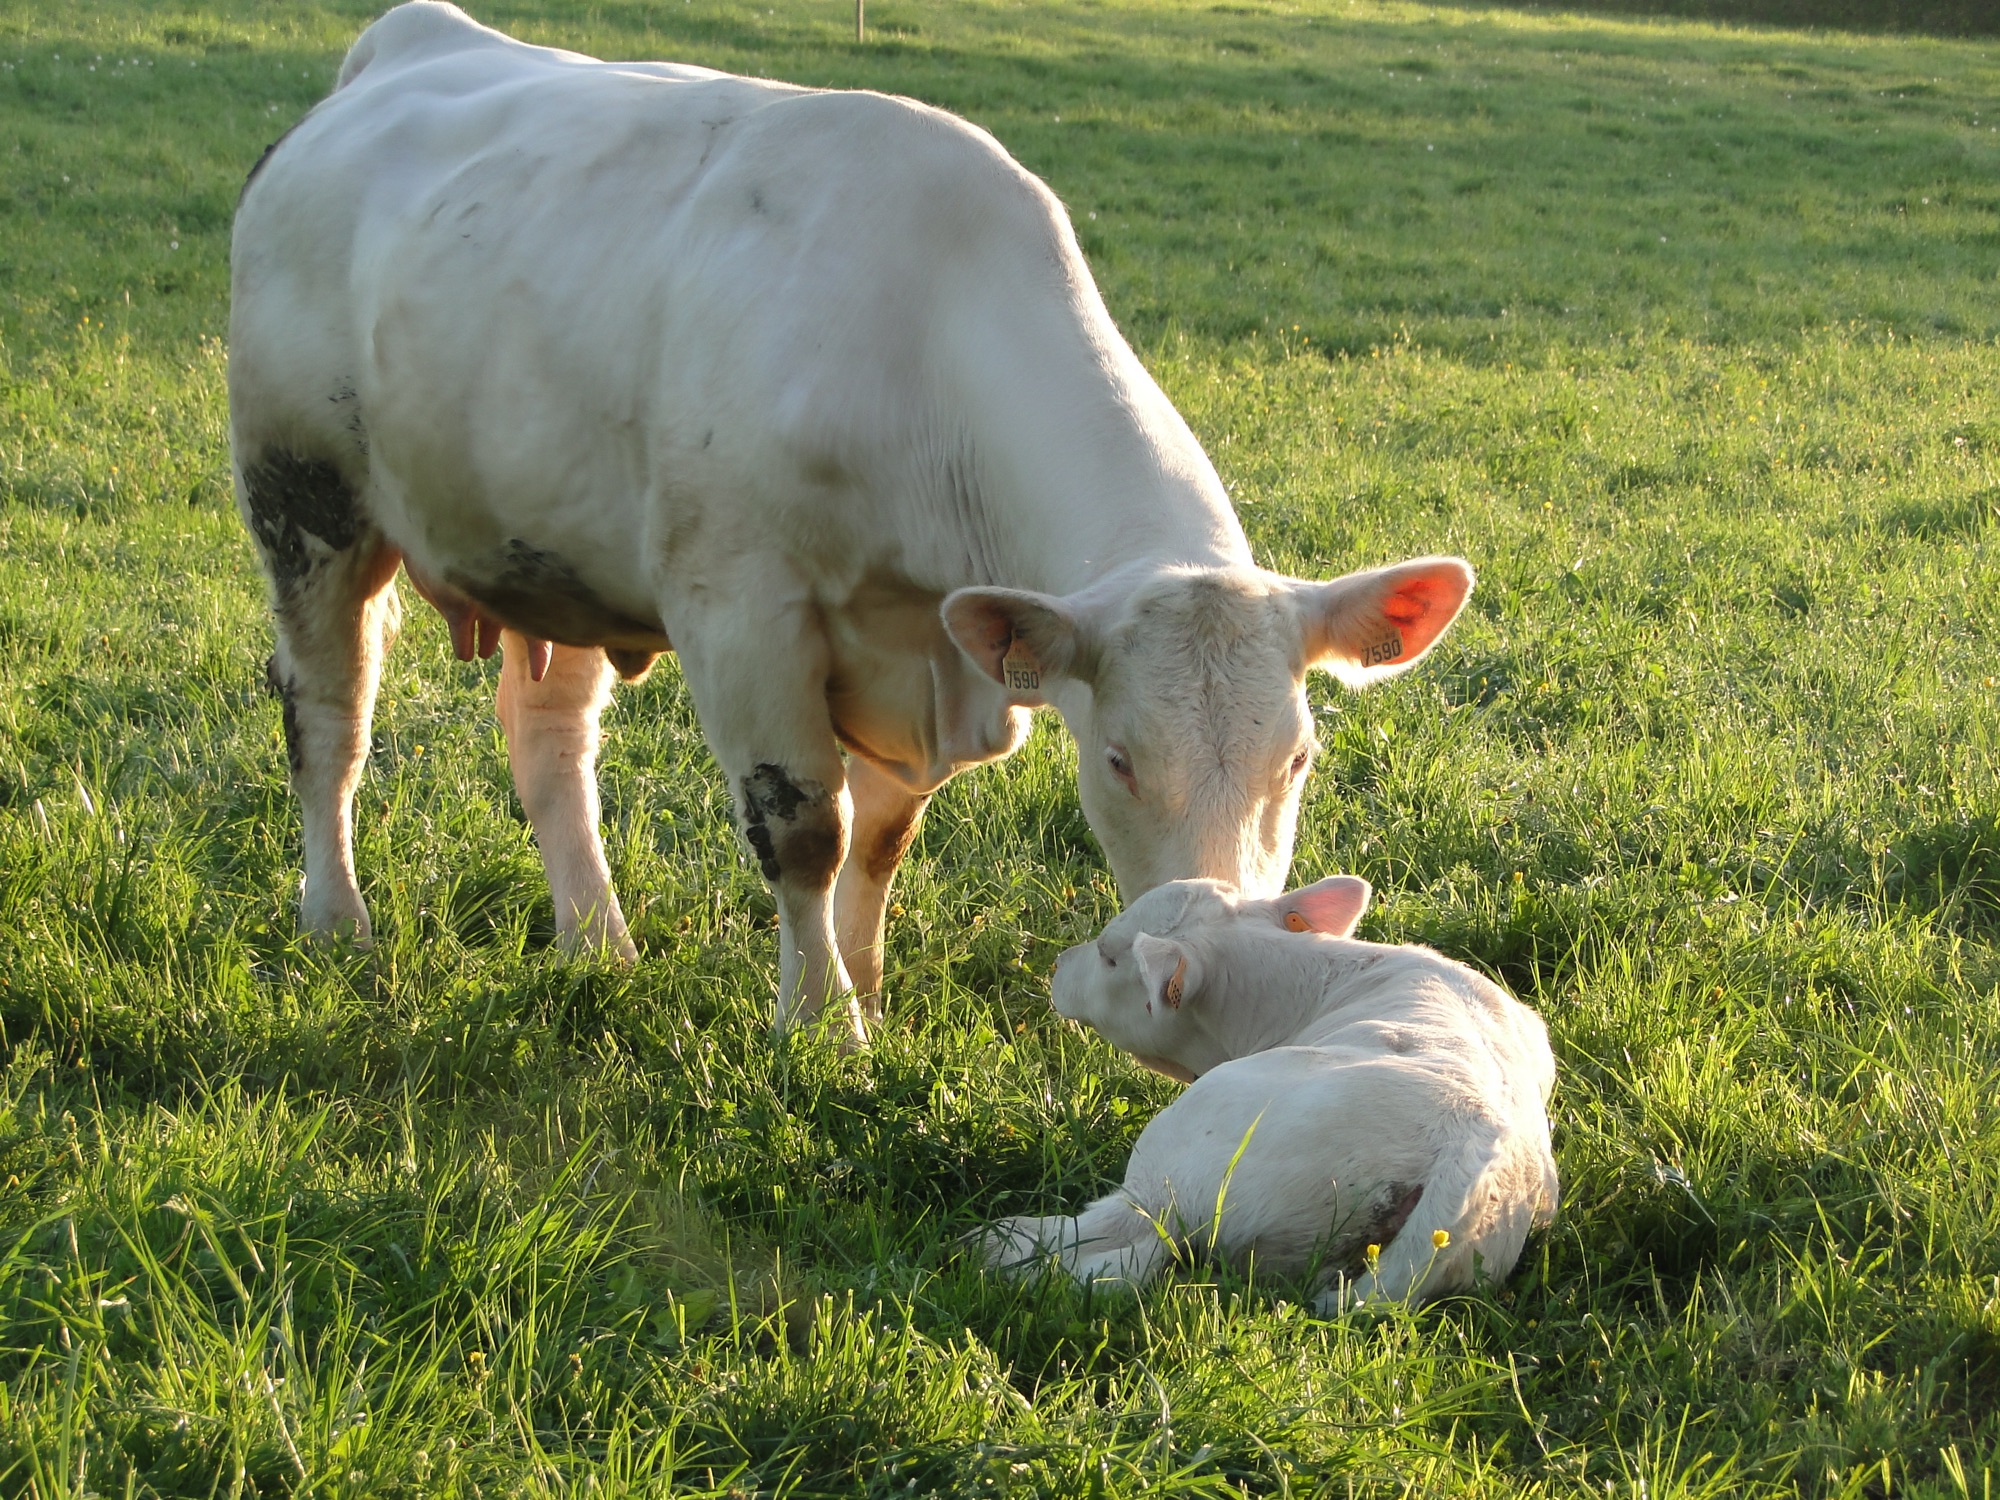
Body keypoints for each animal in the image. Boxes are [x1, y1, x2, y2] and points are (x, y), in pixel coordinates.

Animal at [229, 1, 1476, 1042]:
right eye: (1119, 761)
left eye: (1298, 755)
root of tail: (410, 40)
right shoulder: (739, 610)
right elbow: (805, 836)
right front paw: (823, 1030)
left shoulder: (935, 657)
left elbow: (877, 843)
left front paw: (865, 991)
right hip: (302, 499)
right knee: (327, 715)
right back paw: (336, 918)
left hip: (552, 549)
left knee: (547, 741)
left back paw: (597, 944)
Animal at [983, 877, 1559, 1308]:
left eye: (1107, 955)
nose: (1058, 964)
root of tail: (1467, 1152)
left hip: (1172, 1166)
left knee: (1115, 1245)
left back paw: (992, 1245)